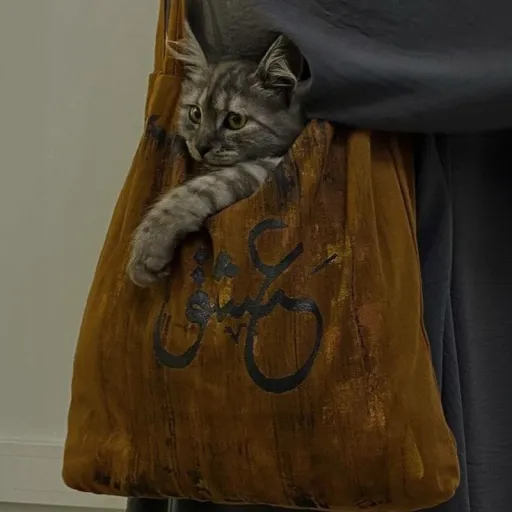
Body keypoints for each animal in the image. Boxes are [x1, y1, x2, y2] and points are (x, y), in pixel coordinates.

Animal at [127, 23, 308, 287]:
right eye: (195, 114)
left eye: (235, 120)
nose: (200, 146)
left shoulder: (269, 165)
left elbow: (196, 190)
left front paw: (148, 246)